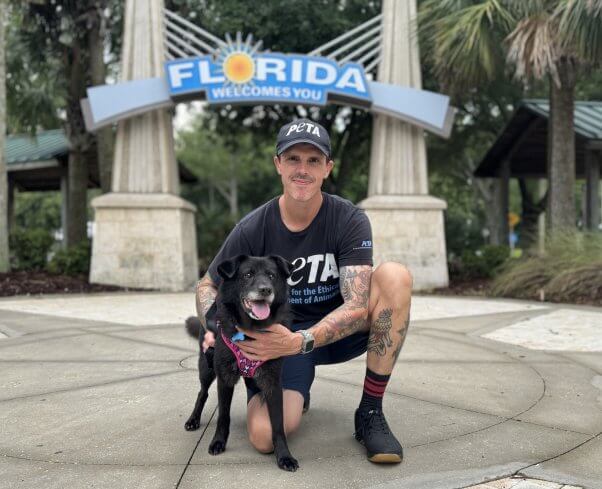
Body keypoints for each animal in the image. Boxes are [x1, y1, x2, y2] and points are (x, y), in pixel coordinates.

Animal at [180, 254, 298, 470]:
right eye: (247, 275)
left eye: (271, 275)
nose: (265, 290)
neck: (251, 329)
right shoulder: (224, 378)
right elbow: (223, 416)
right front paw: (218, 442)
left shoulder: (272, 383)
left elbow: (277, 424)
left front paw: (284, 456)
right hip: (207, 366)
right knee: (202, 392)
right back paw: (193, 419)